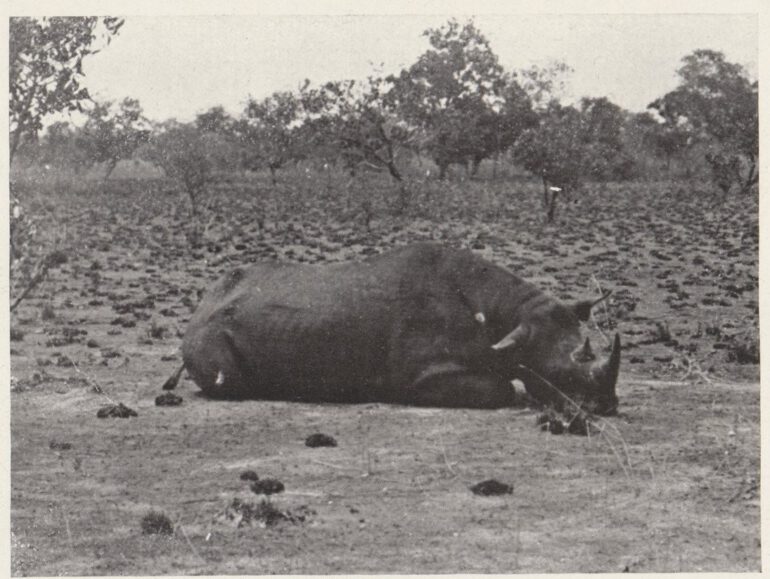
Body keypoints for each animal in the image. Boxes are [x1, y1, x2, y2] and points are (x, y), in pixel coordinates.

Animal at [174, 243, 621, 414]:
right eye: (562, 375)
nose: (606, 407)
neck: (510, 319)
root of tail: (198, 310)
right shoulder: (422, 376)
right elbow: (502, 390)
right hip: (207, 334)